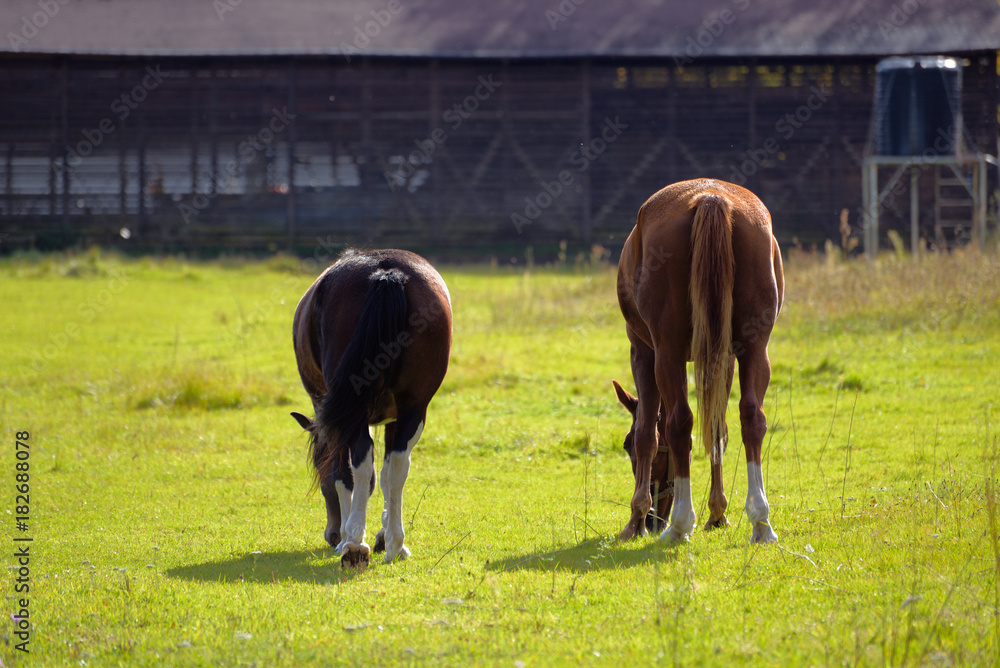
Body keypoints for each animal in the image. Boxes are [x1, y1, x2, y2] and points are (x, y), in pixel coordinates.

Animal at [290, 249, 452, 567]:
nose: (331, 535)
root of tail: (386, 271)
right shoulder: (396, 418)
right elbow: (387, 476)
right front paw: (384, 536)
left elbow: (344, 475)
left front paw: (352, 536)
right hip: (414, 406)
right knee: (398, 466)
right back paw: (394, 544)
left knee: (359, 463)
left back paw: (353, 543)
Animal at [612, 178, 784, 544]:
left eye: (626, 445)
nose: (653, 521)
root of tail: (710, 197)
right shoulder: (724, 356)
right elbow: (718, 431)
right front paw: (718, 512)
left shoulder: (642, 351)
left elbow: (649, 433)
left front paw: (634, 520)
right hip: (755, 348)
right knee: (752, 418)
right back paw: (761, 521)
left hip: (667, 352)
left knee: (679, 423)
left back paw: (679, 525)